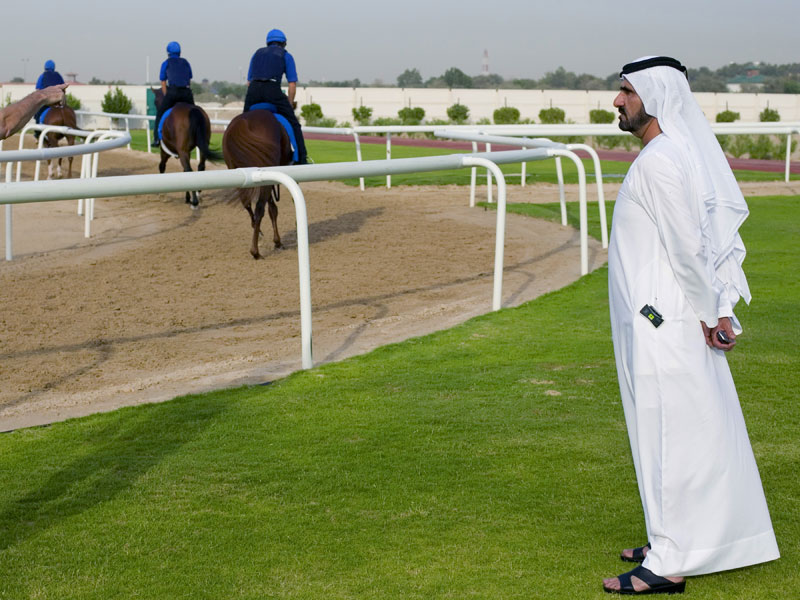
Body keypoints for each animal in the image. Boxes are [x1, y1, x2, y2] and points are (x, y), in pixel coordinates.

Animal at [223, 109, 292, 258]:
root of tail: (243, 122)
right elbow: (272, 209)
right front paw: (277, 242)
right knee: (260, 208)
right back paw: (255, 251)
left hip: (237, 172)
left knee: (247, 204)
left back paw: (257, 232)